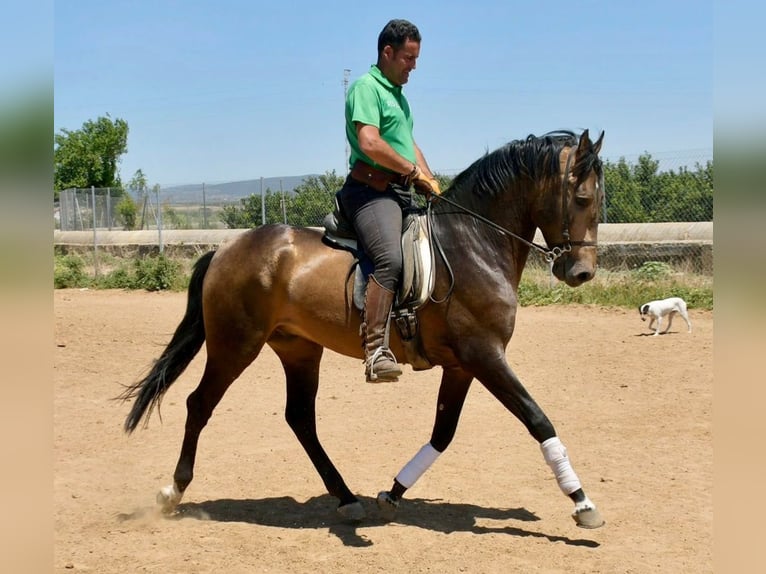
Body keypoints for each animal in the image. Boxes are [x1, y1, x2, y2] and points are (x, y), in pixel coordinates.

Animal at [120, 129, 608, 532]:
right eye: (583, 199)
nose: (581, 273)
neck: (473, 245)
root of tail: (225, 248)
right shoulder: (485, 356)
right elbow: (537, 419)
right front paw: (582, 503)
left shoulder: (463, 365)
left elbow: (443, 434)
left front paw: (392, 493)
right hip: (235, 345)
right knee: (199, 404)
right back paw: (173, 492)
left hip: (298, 350)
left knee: (300, 418)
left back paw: (345, 497)